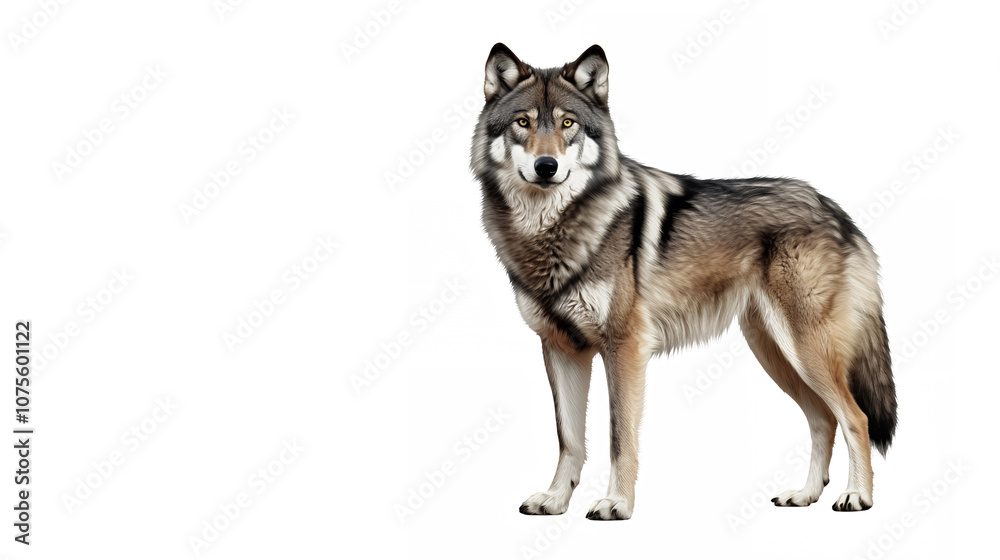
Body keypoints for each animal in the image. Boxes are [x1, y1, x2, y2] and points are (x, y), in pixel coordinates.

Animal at [469, 44, 897, 520]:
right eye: (523, 122)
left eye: (567, 124)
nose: (547, 167)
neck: (551, 233)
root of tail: (836, 209)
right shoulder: (561, 350)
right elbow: (569, 439)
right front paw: (556, 500)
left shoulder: (625, 348)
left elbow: (620, 437)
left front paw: (617, 503)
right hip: (774, 352)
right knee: (823, 419)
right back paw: (803, 495)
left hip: (804, 349)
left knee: (855, 417)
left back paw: (857, 496)